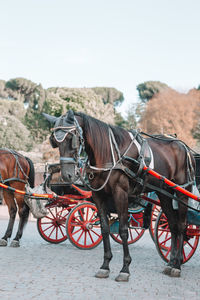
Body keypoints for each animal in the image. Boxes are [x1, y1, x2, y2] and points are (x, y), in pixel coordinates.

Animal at [43, 110, 195, 282]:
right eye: (55, 142)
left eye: (71, 138)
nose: (67, 175)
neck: (109, 153)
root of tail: (183, 147)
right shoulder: (98, 196)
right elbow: (104, 229)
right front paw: (105, 266)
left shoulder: (120, 193)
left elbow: (123, 230)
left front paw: (125, 269)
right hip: (164, 193)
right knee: (173, 224)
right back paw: (171, 262)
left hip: (182, 191)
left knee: (181, 225)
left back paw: (177, 265)